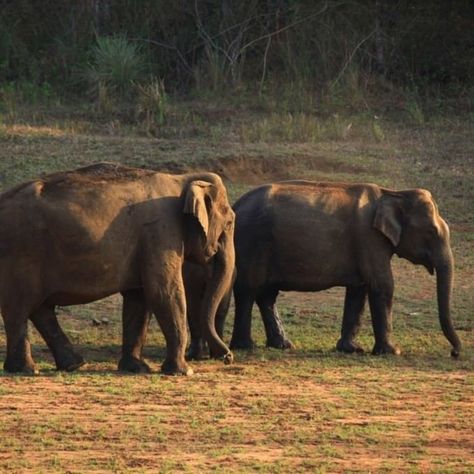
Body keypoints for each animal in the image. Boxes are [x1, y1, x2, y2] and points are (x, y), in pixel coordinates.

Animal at [0, 163, 236, 374]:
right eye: (230, 223)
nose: (227, 357)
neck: (182, 179)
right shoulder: (161, 233)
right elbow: (164, 292)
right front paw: (183, 371)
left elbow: (138, 299)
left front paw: (137, 369)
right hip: (20, 254)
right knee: (19, 308)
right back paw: (26, 369)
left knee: (40, 309)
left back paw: (73, 365)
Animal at [230, 180, 462, 358]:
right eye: (431, 232)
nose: (454, 352)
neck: (392, 193)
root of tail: (235, 204)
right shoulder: (370, 239)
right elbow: (383, 285)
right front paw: (393, 351)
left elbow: (358, 291)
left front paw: (352, 349)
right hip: (251, 242)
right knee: (248, 290)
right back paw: (246, 346)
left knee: (267, 295)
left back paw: (283, 345)